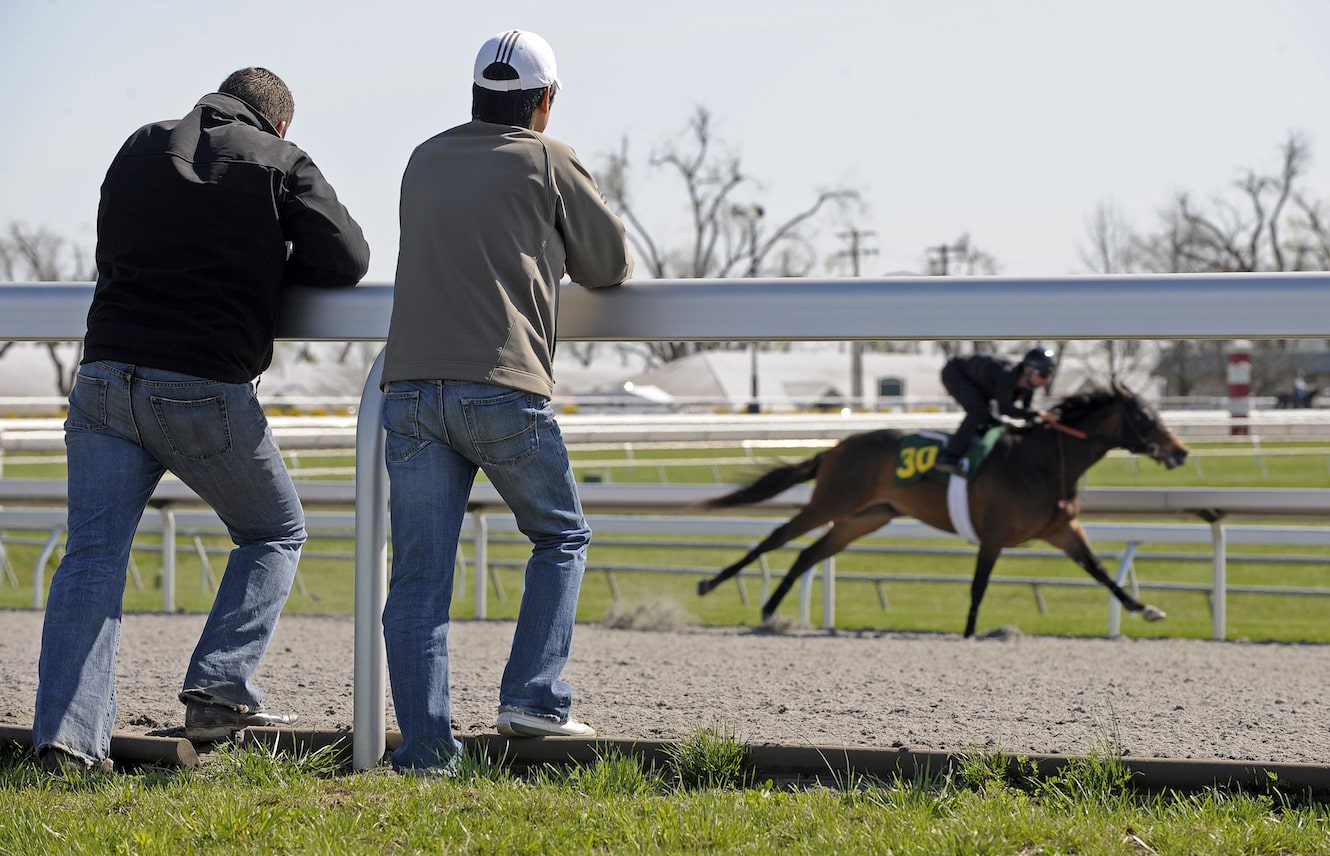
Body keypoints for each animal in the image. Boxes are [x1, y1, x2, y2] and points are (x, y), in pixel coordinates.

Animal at [702, 380, 1191, 635]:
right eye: (1144, 417)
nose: (1180, 451)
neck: (1043, 462)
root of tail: (836, 447)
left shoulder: (1063, 530)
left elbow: (1102, 572)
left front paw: (1146, 608)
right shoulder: (994, 534)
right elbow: (978, 586)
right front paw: (970, 633)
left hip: (863, 518)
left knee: (808, 553)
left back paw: (771, 611)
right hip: (832, 501)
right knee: (776, 538)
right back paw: (711, 584)